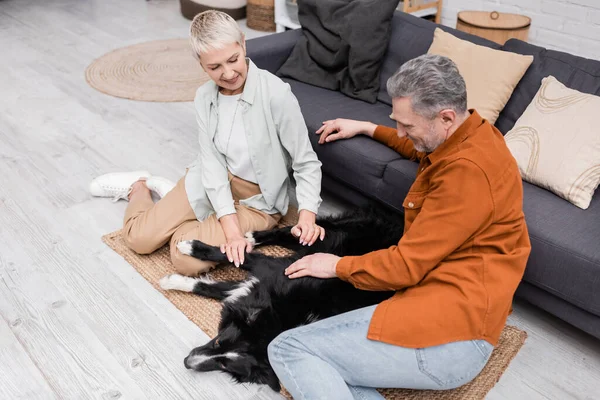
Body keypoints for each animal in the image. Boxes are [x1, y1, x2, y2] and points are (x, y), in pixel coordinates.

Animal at [159, 206, 404, 390]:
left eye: (224, 366)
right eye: (218, 341)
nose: (186, 362)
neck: (277, 315)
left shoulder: (259, 283)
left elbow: (212, 287)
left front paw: (173, 280)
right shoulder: (273, 269)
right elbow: (230, 257)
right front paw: (188, 250)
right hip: (326, 238)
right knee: (295, 231)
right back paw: (252, 236)